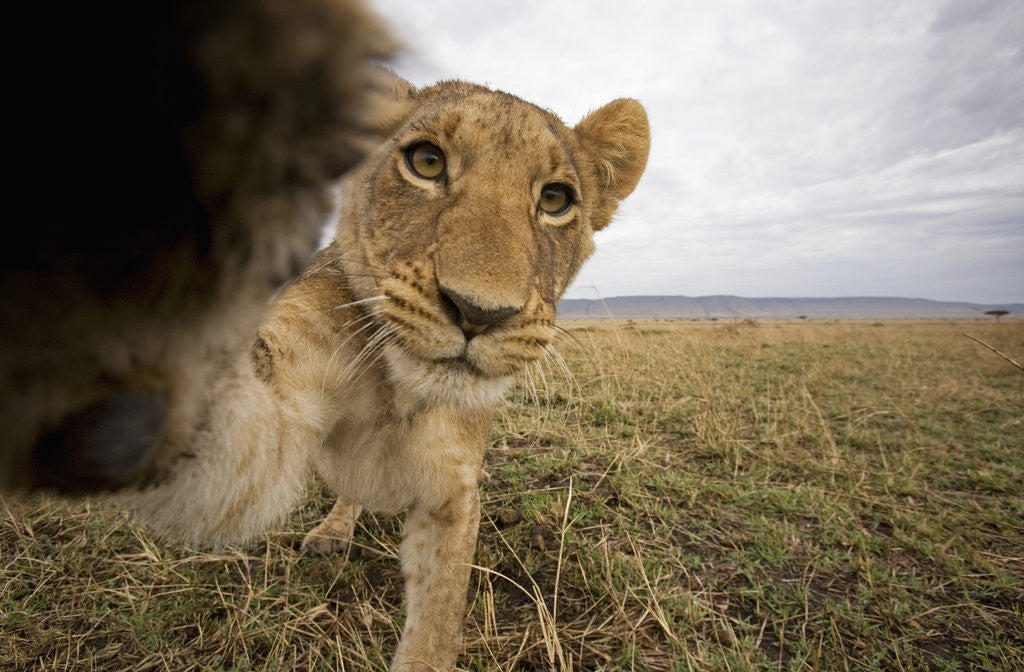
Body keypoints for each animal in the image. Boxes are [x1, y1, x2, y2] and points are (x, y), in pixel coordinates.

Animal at [124, 75, 650, 670]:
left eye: (556, 199)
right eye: (427, 162)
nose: (478, 312)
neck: (403, 392)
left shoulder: (454, 493)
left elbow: (437, 620)